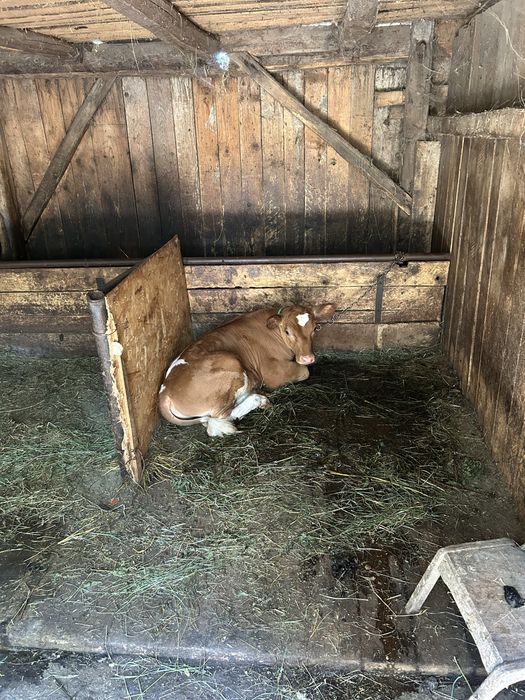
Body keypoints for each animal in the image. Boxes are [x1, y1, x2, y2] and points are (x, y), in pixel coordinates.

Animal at [158, 303, 335, 437]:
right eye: (287, 331)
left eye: (315, 328)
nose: (307, 358)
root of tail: (164, 393)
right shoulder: (273, 373)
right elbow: (305, 372)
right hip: (230, 362)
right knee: (221, 416)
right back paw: (259, 399)